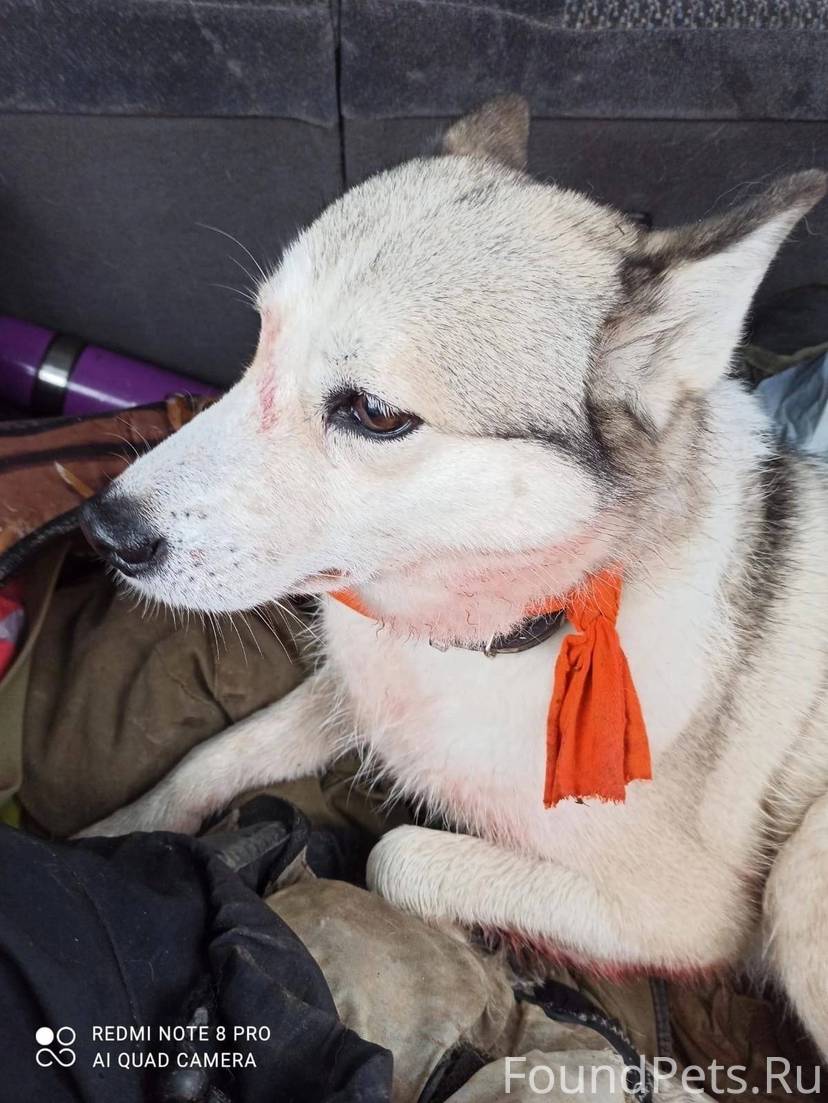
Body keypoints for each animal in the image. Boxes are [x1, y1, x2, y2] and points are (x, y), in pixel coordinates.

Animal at [79, 97, 828, 1058]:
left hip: (801, 878)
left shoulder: (683, 914)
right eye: (261, 340)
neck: (511, 628)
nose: (104, 530)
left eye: (373, 413)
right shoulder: (356, 695)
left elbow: (396, 854)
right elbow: (208, 758)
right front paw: (110, 839)